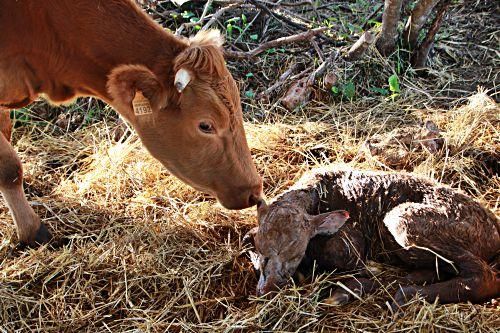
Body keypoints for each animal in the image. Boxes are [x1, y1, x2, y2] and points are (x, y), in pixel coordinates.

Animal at [250, 166, 500, 306]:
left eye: (296, 253)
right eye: (261, 251)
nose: (269, 288)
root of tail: (495, 228)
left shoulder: (350, 244)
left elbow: (343, 257)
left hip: (404, 220)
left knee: (483, 277)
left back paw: (402, 294)